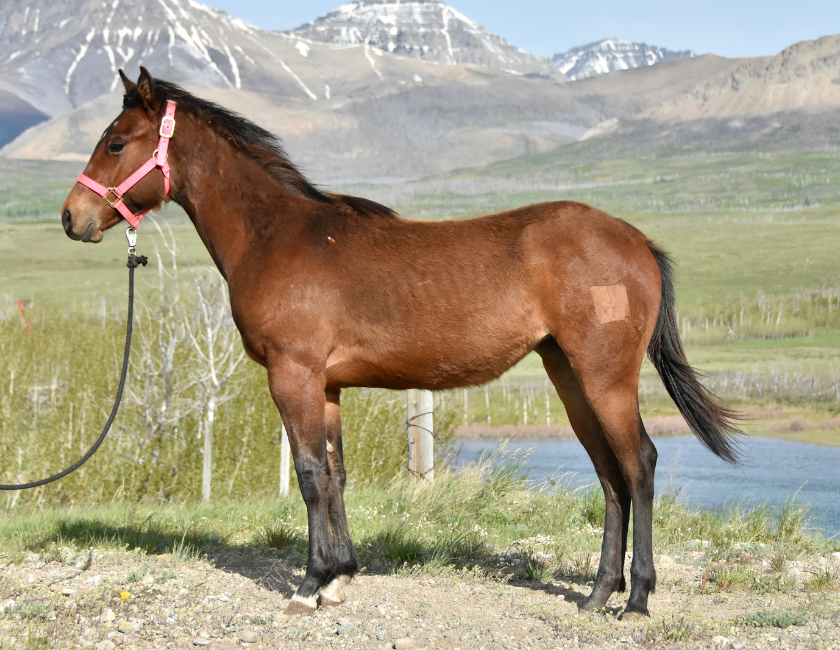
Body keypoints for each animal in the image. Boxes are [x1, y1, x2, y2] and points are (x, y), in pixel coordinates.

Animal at [61, 67, 740, 618]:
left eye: (116, 142)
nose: (72, 218)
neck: (274, 235)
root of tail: (636, 240)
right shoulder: (326, 385)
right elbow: (335, 473)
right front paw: (339, 578)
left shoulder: (293, 374)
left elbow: (309, 473)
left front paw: (308, 586)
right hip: (569, 375)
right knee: (608, 474)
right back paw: (599, 595)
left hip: (605, 376)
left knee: (639, 464)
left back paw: (638, 599)